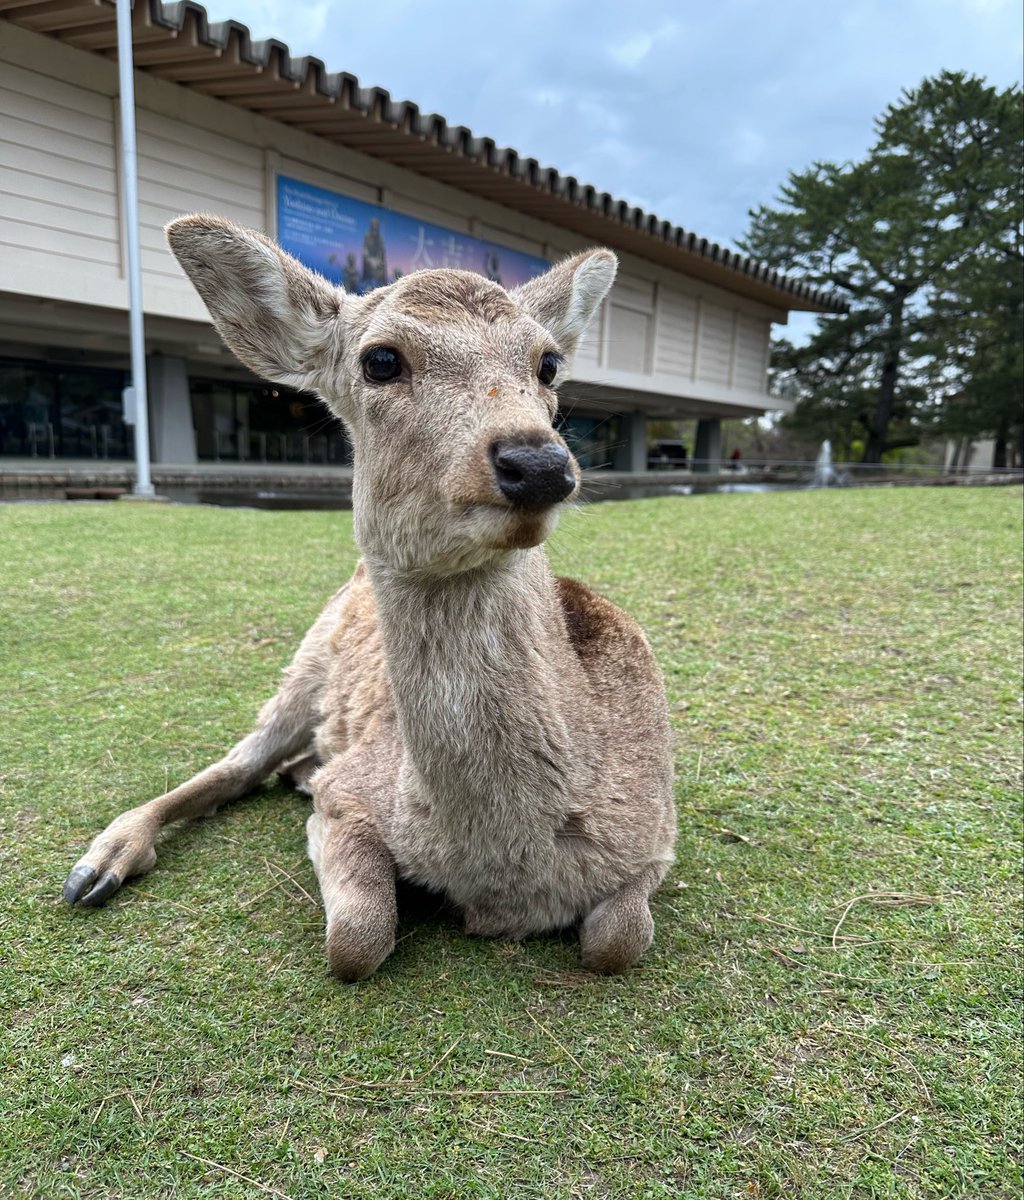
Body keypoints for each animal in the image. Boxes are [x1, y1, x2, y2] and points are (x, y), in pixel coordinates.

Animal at [61, 215, 677, 980]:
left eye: (548, 364)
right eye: (381, 361)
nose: (537, 463)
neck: (505, 869)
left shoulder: (658, 836)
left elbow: (616, 941)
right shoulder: (349, 795)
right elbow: (355, 939)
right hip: (303, 666)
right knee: (237, 764)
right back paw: (102, 861)